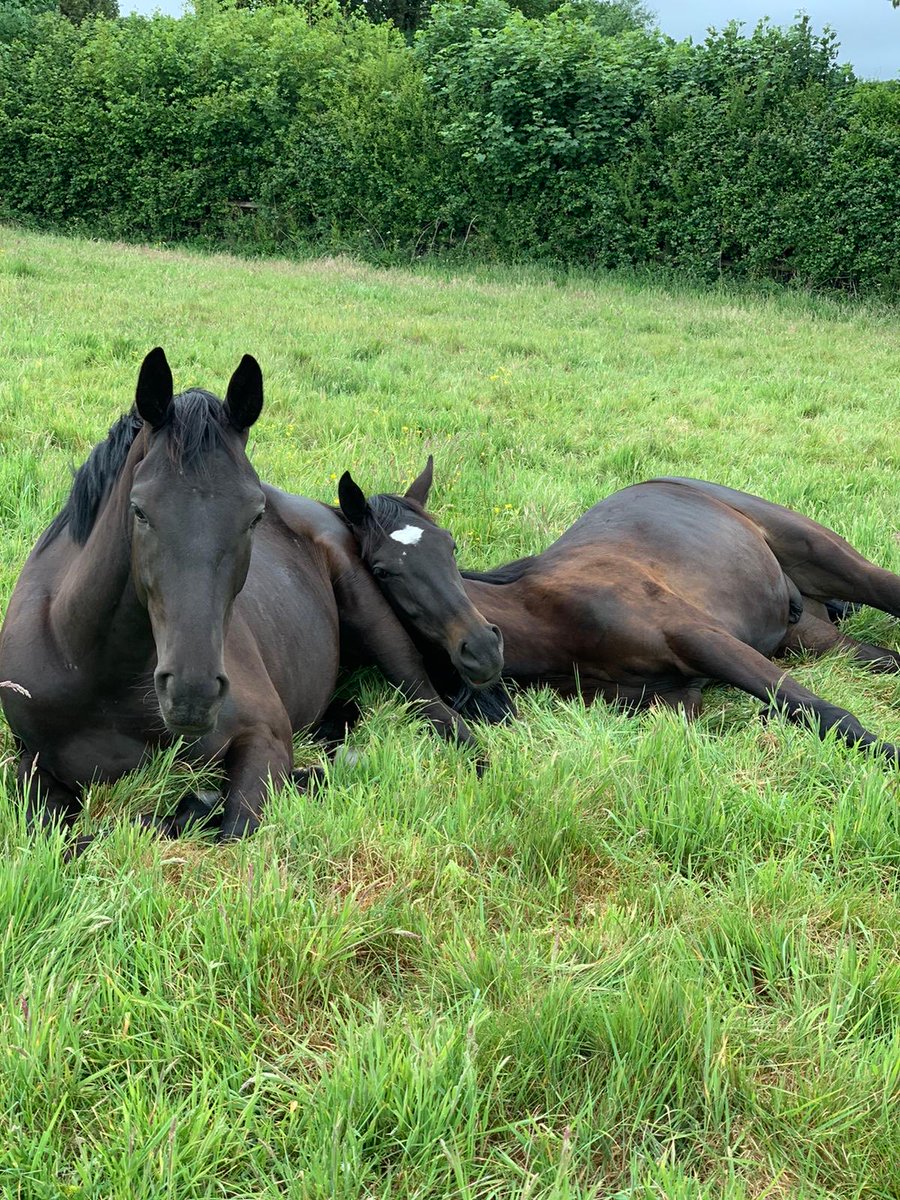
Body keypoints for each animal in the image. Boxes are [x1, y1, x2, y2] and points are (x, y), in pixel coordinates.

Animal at [0, 350, 475, 849]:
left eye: (254, 516)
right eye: (139, 510)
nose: (192, 694)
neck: (94, 672)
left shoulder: (265, 737)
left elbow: (231, 826)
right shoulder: (30, 764)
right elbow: (56, 834)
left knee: (433, 707)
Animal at [338, 458, 900, 758]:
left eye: (450, 545)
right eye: (382, 571)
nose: (480, 649)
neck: (551, 620)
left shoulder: (703, 637)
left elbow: (824, 712)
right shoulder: (673, 698)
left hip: (829, 559)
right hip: (810, 638)